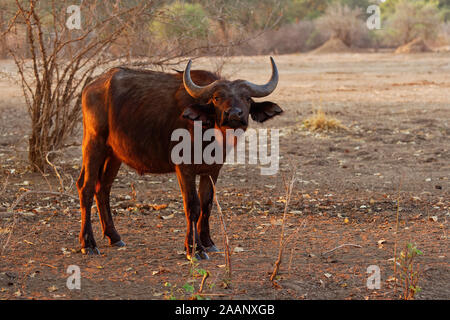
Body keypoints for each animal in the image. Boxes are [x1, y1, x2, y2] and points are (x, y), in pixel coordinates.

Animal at [77, 56, 282, 258]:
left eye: (247, 98)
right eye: (217, 98)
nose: (233, 114)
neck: (209, 133)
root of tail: (92, 87)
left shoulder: (212, 170)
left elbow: (207, 204)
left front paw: (208, 243)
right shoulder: (185, 168)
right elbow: (192, 205)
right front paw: (194, 248)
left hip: (114, 154)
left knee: (102, 187)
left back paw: (114, 236)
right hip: (94, 144)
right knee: (86, 187)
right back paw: (88, 243)